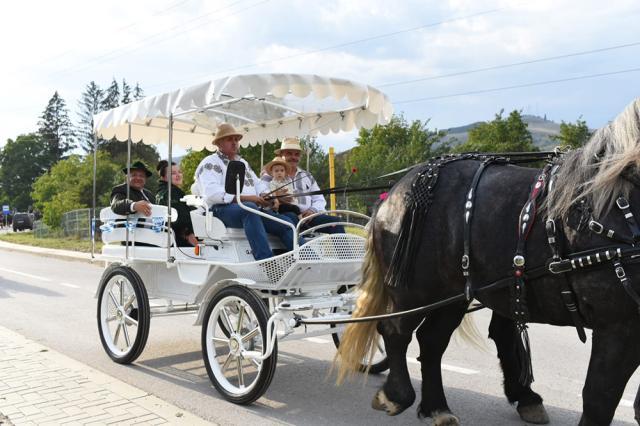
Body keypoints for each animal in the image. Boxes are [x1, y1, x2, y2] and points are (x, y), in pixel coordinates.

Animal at [336, 98, 640, 424]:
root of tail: (396, 189)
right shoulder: (619, 326)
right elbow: (600, 397)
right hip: (414, 291)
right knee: (395, 332)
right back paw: (396, 395)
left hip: (454, 293)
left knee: (431, 341)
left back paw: (437, 407)